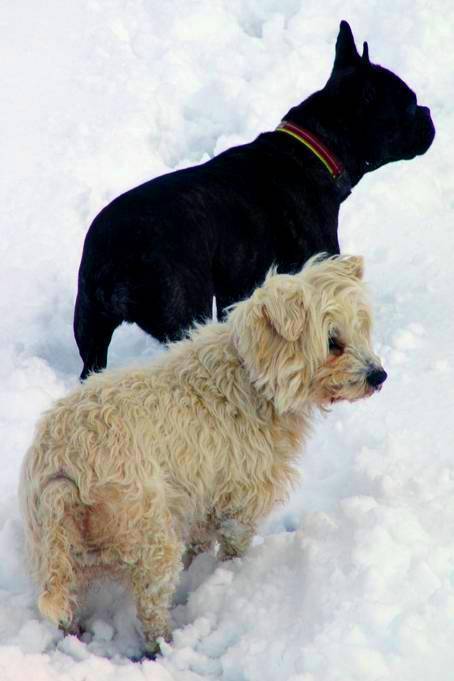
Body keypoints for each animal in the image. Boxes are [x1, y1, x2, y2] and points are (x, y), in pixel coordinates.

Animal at [18, 254, 386, 652]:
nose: (379, 376)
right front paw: (231, 573)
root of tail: (63, 469)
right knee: (152, 600)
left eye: (362, 329)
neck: (252, 377)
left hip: (60, 547)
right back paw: (165, 643)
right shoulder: (243, 497)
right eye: (333, 342)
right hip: (150, 534)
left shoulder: (204, 495)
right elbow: (235, 540)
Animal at [75, 19, 436, 378]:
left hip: (90, 325)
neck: (315, 149)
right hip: (183, 311)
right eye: (408, 106)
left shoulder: (237, 288)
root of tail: (116, 254)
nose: (427, 112)